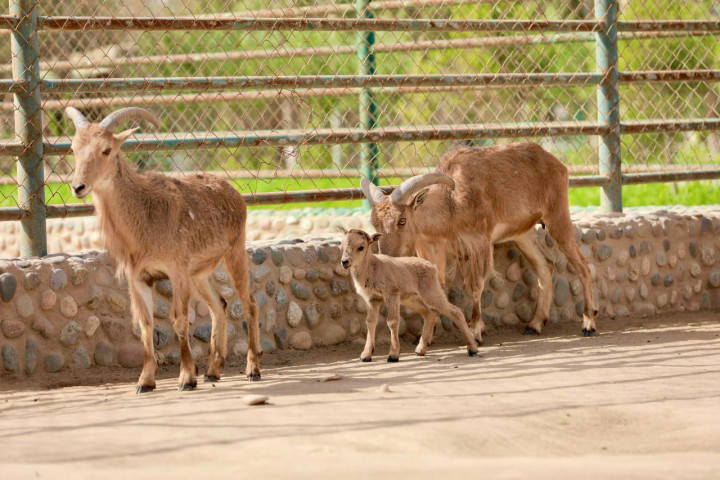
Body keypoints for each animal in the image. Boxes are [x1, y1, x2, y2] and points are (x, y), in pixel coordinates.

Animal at [65, 106, 261, 393]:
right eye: (73, 149)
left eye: (106, 150)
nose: (78, 187)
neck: (143, 219)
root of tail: (235, 193)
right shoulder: (140, 278)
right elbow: (146, 325)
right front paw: (145, 381)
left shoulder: (176, 271)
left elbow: (179, 320)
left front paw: (186, 378)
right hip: (199, 274)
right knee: (220, 305)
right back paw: (213, 371)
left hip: (234, 253)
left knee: (249, 304)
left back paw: (252, 370)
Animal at [339, 227, 478, 361]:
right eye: (342, 244)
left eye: (361, 247)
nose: (345, 262)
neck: (374, 268)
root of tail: (433, 267)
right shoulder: (372, 299)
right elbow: (370, 322)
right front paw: (365, 355)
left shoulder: (392, 294)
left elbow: (392, 321)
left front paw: (393, 355)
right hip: (411, 299)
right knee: (429, 313)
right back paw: (420, 350)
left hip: (431, 292)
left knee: (455, 311)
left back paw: (472, 349)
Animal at [361, 143, 597, 352]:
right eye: (375, 223)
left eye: (402, 220)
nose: (387, 257)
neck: (451, 206)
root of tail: (556, 163)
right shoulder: (433, 248)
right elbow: (436, 286)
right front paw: (426, 335)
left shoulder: (479, 242)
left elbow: (475, 286)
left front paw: (475, 331)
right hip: (522, 234)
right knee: (545, 265)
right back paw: (535, 324)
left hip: (557, 216)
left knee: (582, 264)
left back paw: (588, 323)